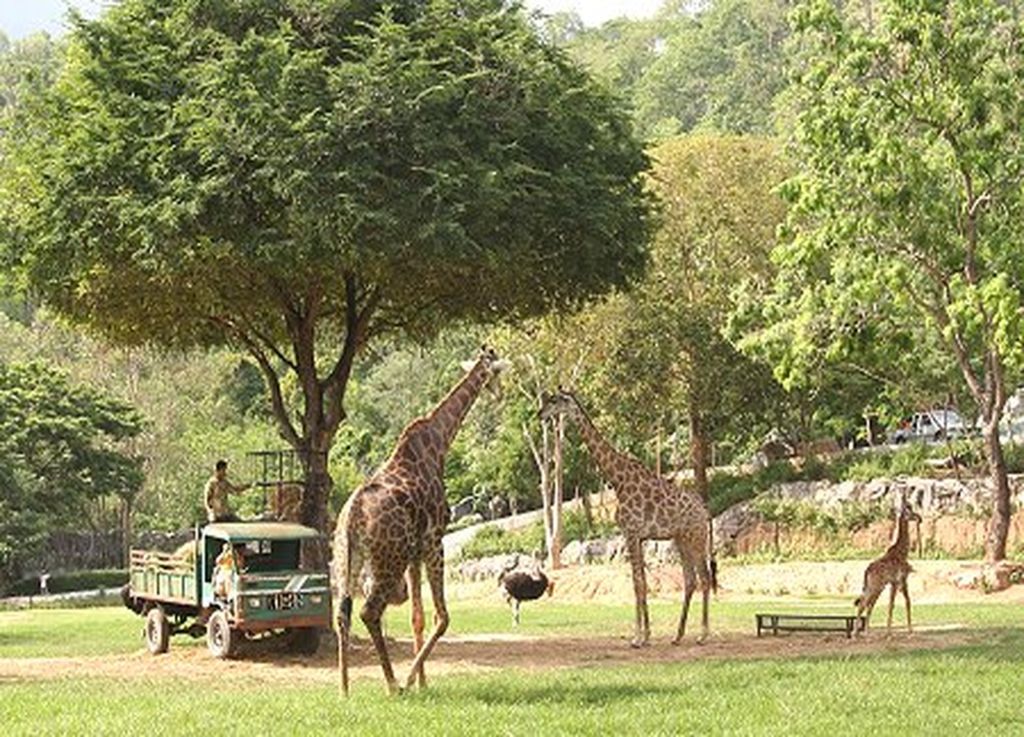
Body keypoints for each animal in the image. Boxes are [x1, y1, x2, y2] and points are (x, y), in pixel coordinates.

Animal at [332, 346, 508, 696]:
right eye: (496, 372)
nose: (501, 394)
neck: (438, 444)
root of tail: (353, 514)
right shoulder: (434, 541)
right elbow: (442, 617)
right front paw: (412, 678)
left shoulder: (414, 553)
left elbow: (418, 617)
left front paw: (423, 683)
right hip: (390, 560)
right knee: (369, 611)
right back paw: (392, 684)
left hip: (349, 559)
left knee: (342, 613)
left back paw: (345, 690)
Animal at [539, 389, 716, 648]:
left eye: (555, 400)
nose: (540, 413)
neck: (618, 479)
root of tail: (705, 510)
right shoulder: (639, 537)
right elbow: (641, 582)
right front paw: (647, 635)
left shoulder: (630, 533)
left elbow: (637, 583)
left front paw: (637, 637)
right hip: (681, 539)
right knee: (690, 580)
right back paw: (678, 635)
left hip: (696, 537)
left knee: (704, 577)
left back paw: (703, 634)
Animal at [854, 491, 921, 633]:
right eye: (909, 510)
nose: (920, 518)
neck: (902, 552)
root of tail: (867, 571)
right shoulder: (901, 580)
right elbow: (904, 602)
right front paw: (908, 631)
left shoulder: (893, 583)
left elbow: (892, 604)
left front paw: (889, 631)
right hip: (875, 586)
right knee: (863, 604)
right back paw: (855, 633)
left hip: (876, 587)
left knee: (868, 604)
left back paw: (867, 632)